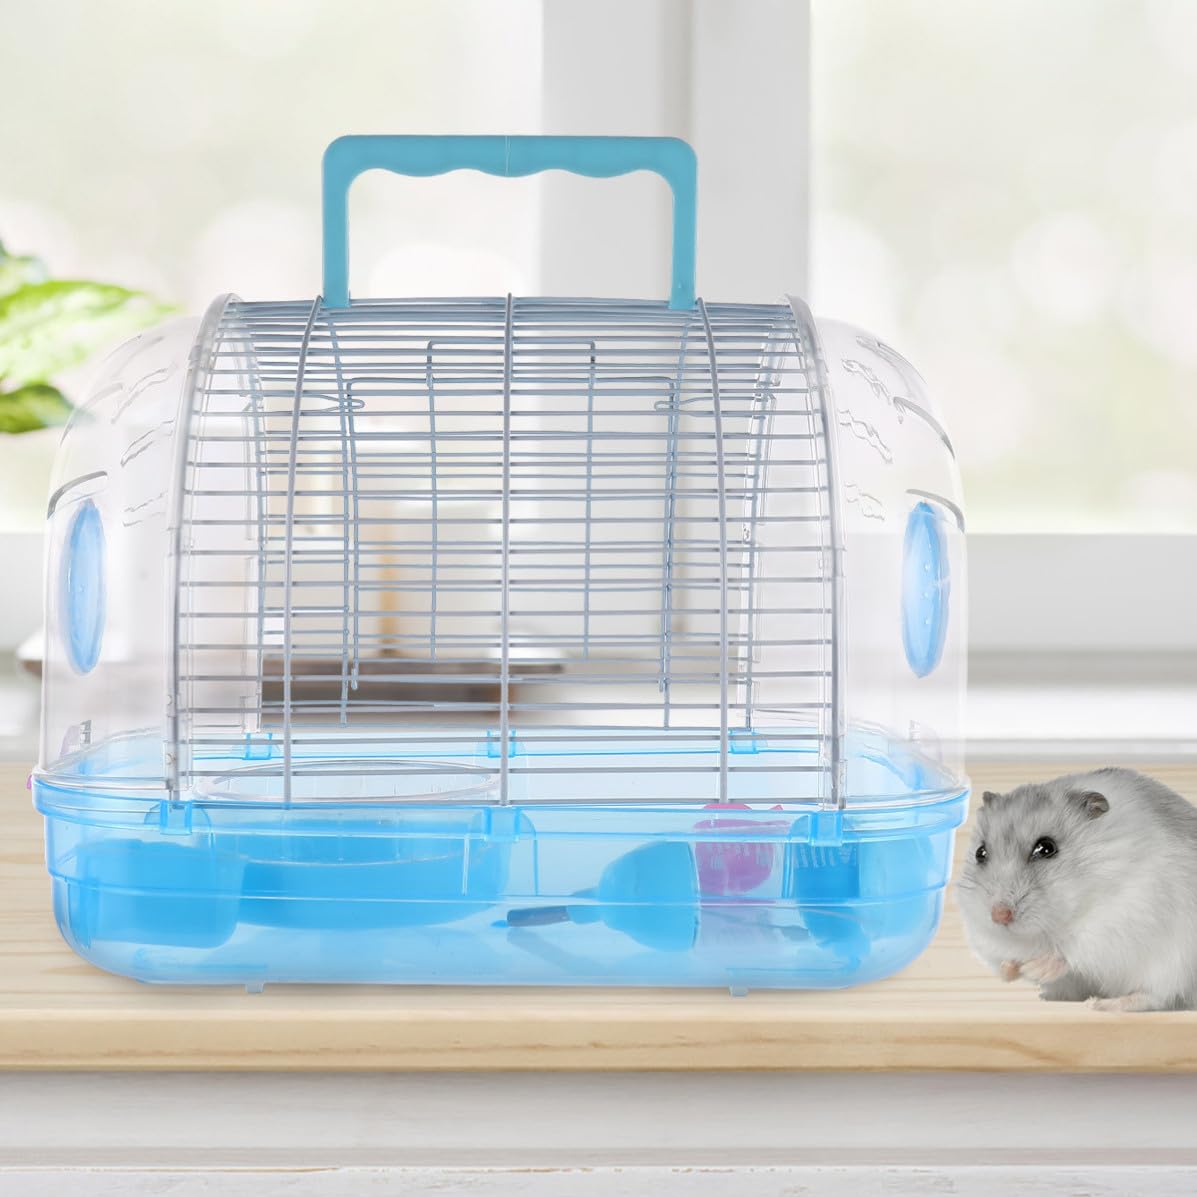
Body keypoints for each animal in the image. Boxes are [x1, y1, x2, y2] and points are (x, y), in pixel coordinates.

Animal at [955, 767, 1197, 1012]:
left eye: (1046, 848)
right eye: (980, 853)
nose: (999, 915)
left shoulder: (1119, 920)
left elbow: (1070, 951)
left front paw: (1033, 968)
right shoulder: (984, 935)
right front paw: (1012, 968)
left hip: (1173, 967)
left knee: (1156, 996)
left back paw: (1104, 1005)